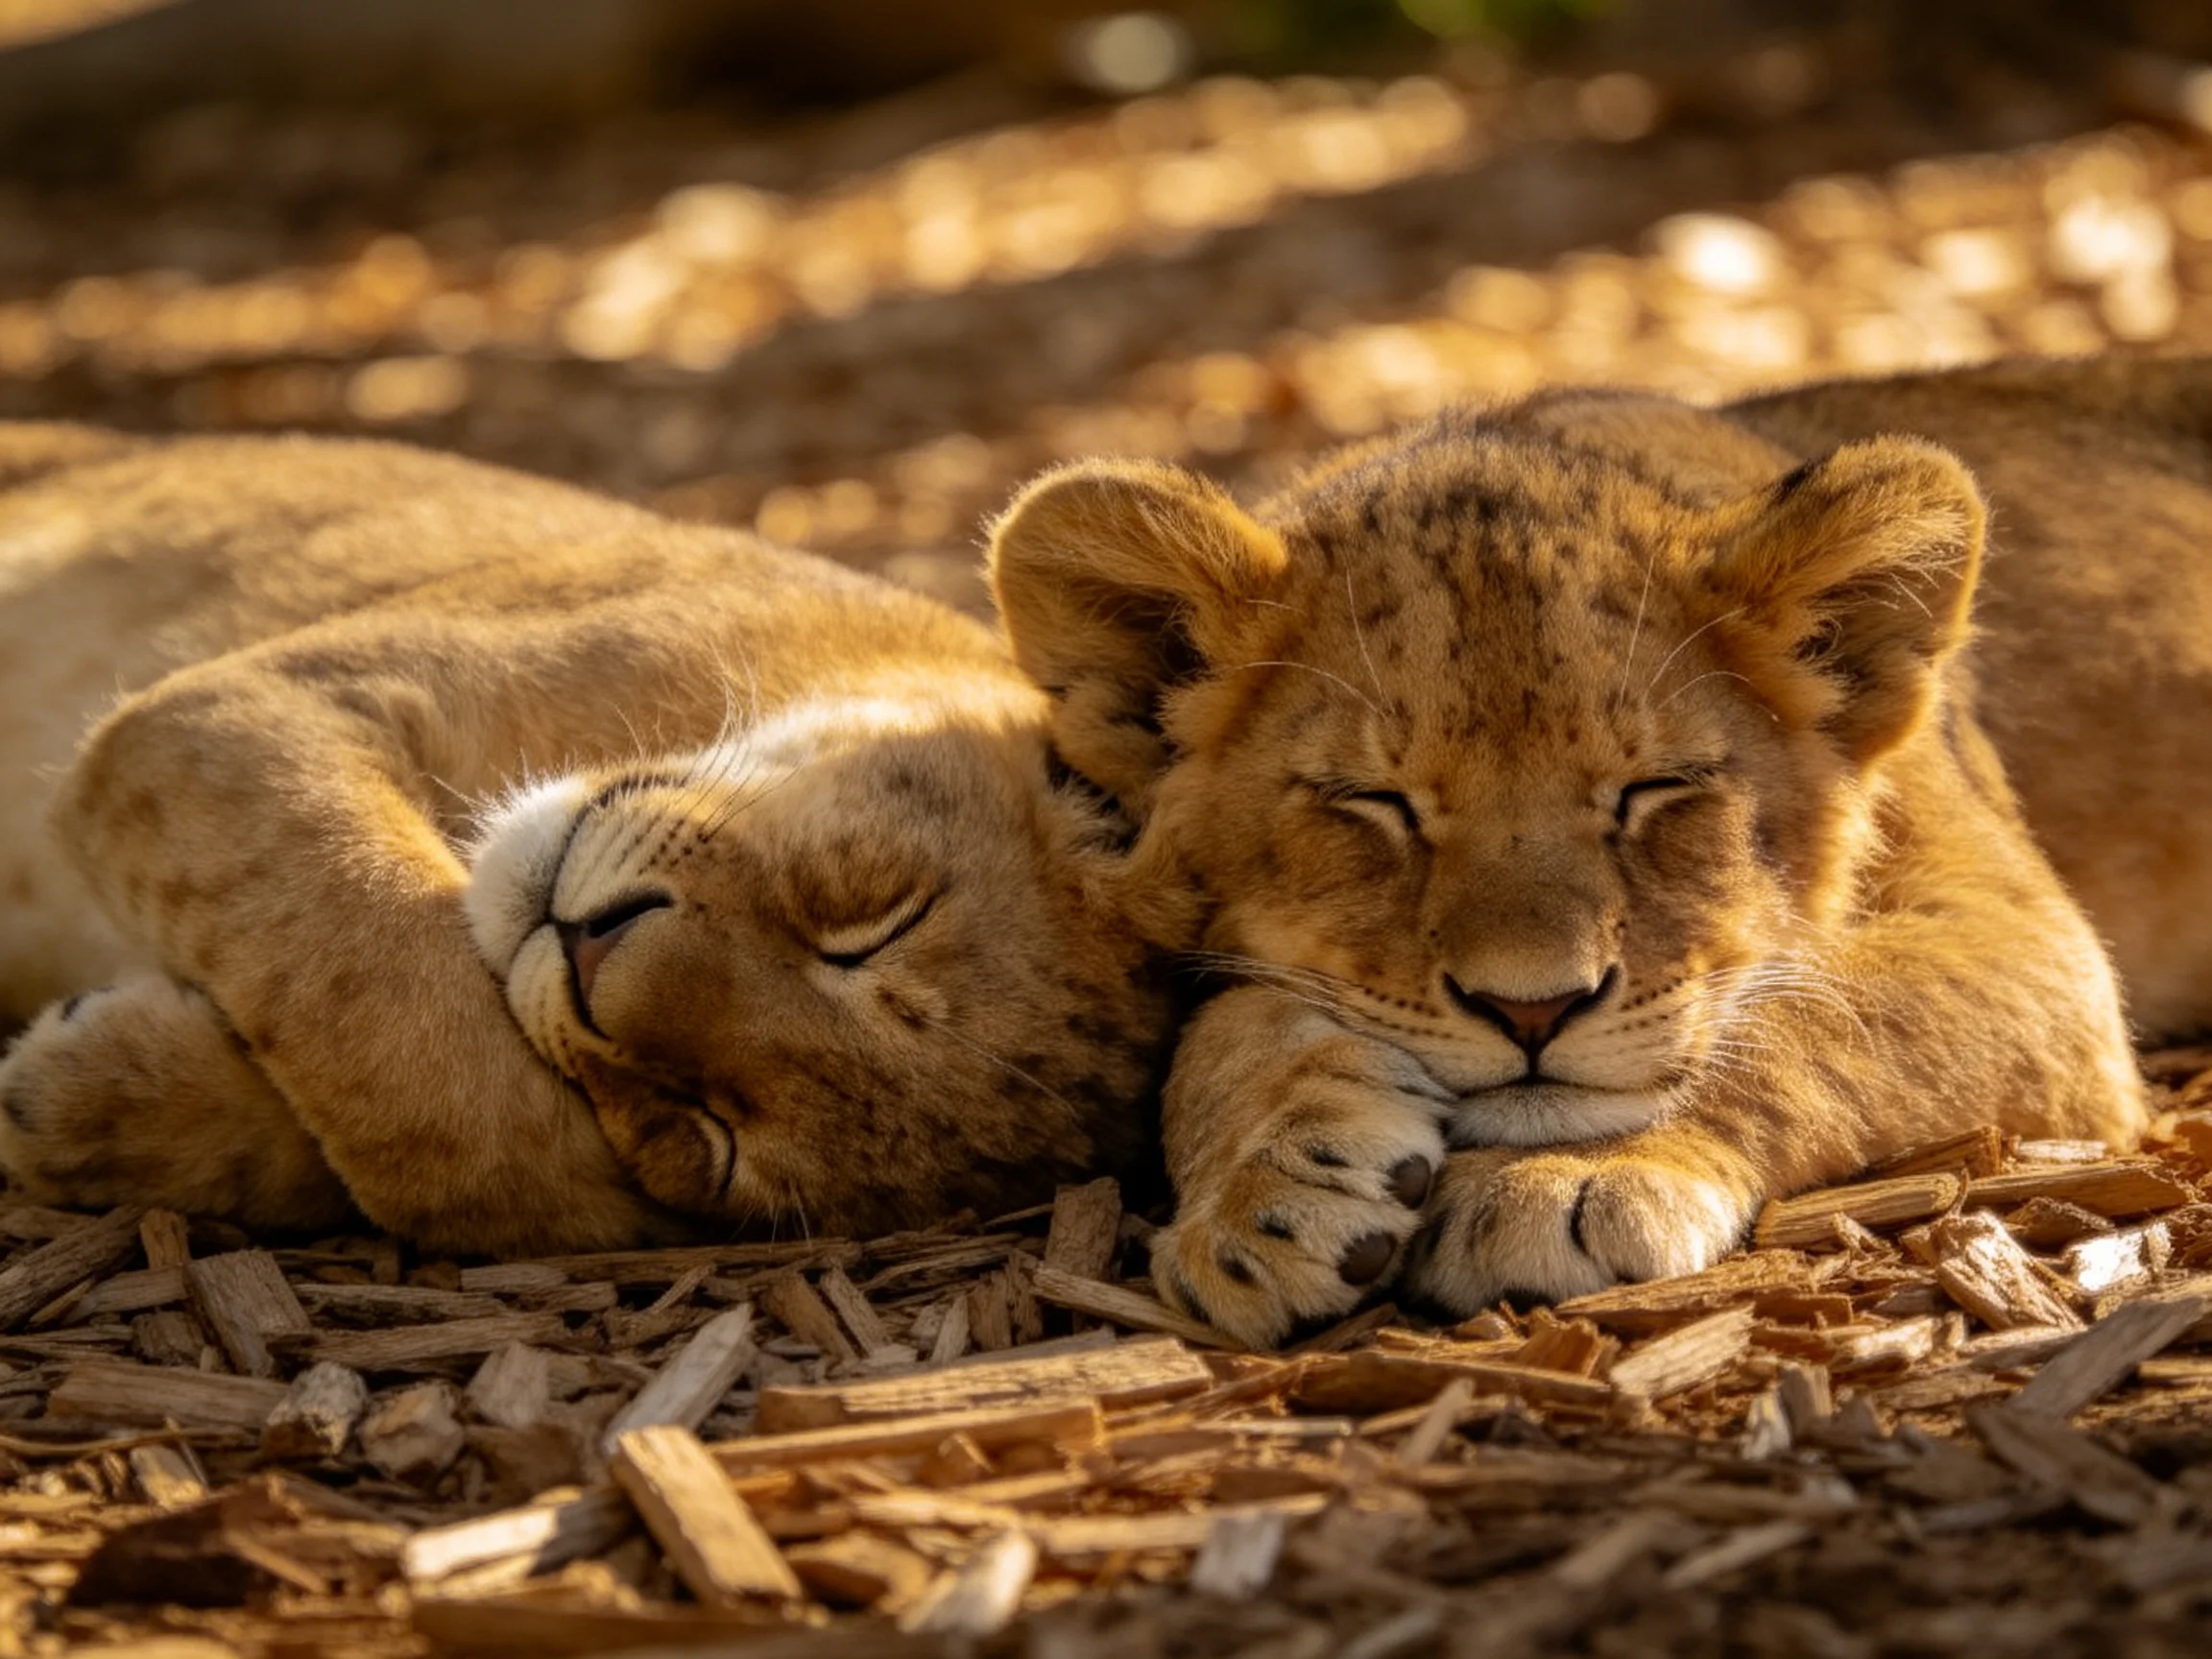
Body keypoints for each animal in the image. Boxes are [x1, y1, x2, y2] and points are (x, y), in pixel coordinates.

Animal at [0, 423, 1171, 1254]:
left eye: (710, 1134)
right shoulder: (228, 708)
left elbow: (490, 1154)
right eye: (872, 921)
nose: (588, 952)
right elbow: (418, 1022)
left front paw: (81, 1096)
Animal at [989, 355, 2212, 1346]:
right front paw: (1266, 1191)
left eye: (1653, 790)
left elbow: (1807, 1018)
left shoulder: (2036, 947)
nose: (1531, 1011)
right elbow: (1221, 1026)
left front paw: (1562, 1177)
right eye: (1377, 801)